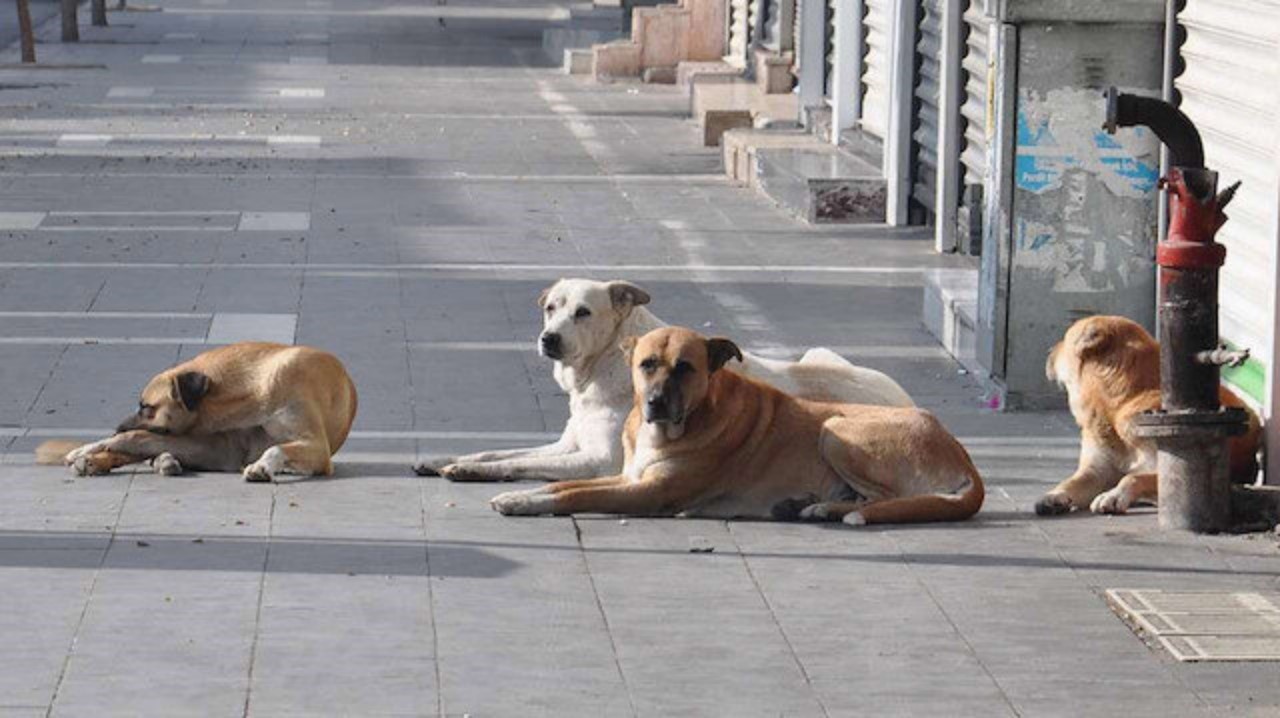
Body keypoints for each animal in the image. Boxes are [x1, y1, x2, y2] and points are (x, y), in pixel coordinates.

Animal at [37, 340, 358, 481]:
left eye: (146, 407)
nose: (117, 426)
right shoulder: (218, 446)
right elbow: (133, 439)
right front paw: (89, 448)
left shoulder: (317, 448)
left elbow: (276, 447)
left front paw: (262, 466)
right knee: (142, 447)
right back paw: (97, 460)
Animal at [412, 280, 911, 481]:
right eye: (551, 307)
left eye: (583, 312)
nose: (548, 338)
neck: (600, 371)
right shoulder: (566, 444)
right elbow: (497, 451)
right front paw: (445, 459)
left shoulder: (598, 461)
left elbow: (513, 463)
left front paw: (469, 472)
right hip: (817, 353)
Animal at [486, 327, 977, 524]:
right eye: (646, 364)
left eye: (685, 368)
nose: (656, 403)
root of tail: (963, 456)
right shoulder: (628, 477)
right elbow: (561, 486)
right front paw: (521, 494)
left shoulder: (649, 492)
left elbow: (574, 496)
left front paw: (521, 502)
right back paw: (812, 506)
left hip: (835, 431)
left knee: (885, 499)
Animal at [1029, 314, 1259, 514]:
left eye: (1065, 339)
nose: (1048, 351)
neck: (1120, 405)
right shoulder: (1095, 472)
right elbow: (1071, 481)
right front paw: (1054, 495)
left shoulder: (1166, 468)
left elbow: (1132, 478)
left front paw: (1113, 495)